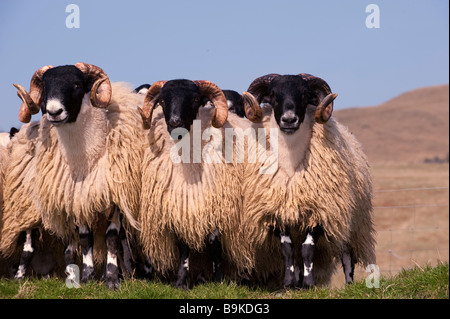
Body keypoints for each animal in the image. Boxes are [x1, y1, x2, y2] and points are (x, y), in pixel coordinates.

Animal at [4, 62, 147, 290]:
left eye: (77, 84)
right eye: (45, 86)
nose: (54, 111)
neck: (85, 158)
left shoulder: (114, 197)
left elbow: (112, 238)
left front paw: (112, 279)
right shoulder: (77, 198)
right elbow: (85, 238)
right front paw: (87, 277)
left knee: (122, 241)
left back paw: (124, 272)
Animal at [136, 80, 260, 290]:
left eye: (195, 99)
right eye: (162, 100)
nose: (175, 122)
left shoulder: (216, 204)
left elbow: (215, 245)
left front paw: (219, 280)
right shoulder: (181, 206)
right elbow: (183, 247)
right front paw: (180, 282)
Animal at [239, 74, 376, 288]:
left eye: (305, 95)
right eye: (273, 95)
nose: (289, 119)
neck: (290, 163)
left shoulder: (319, 210)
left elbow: (307, 249)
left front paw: (309, 283)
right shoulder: (279, 211)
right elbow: (287, 249)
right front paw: (289, 283)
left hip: (351, 220)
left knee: (347, 256)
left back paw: (348, 284)